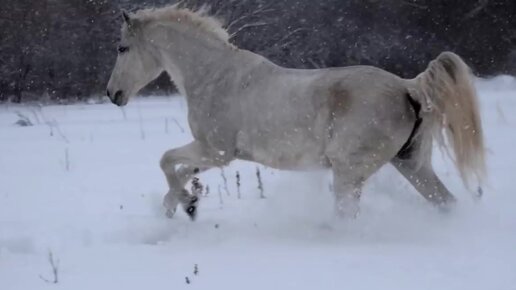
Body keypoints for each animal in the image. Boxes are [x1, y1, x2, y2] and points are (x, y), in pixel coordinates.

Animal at [107, 5, 486, 220]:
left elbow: (167, 161)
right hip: (411, 165)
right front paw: (179, 204)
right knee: (446, 203)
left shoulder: (216, 151)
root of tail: (408, 87)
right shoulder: (215, 155)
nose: (113, 95)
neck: (214, 75)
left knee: (347, 217)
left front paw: (185, 204)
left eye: (122, 48)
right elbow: (180, 169)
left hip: (349, 173)